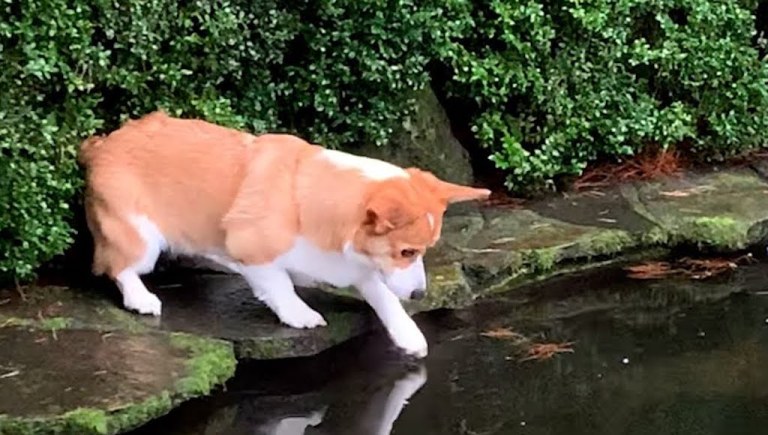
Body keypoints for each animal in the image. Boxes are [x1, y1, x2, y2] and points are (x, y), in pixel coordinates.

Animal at [79, 111, 492, 358]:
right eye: (407, 252)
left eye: (423, 250)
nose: (421, 294)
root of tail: (102, 144)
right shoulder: (252, 251)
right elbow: (280, 285)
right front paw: (299, 313)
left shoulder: (356, 265)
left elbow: (383, 295)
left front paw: (408, 334)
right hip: (140, 237)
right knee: (119, 267)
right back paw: (141, 298)